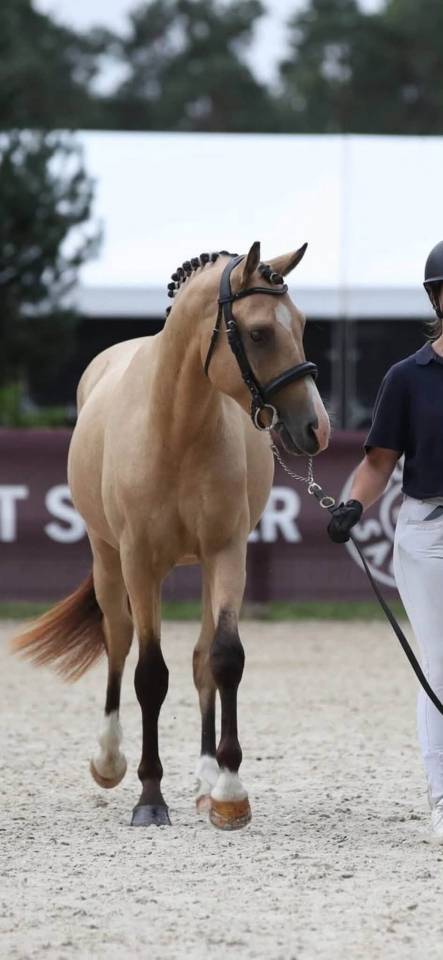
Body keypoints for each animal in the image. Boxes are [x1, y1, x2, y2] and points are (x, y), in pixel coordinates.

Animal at [13, 241, 330, 830]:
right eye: (259, 333)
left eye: (300, 324)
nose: (316, 428)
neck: (176, 430)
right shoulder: (140, 562)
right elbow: (149, 674)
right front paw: (149, 797)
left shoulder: (227, 554)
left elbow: (224, 659)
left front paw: (229, 791)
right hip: (107, 558)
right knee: (117, 639)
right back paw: (109, 760)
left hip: (203, 566)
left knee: (203, 658)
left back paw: (206, 778)